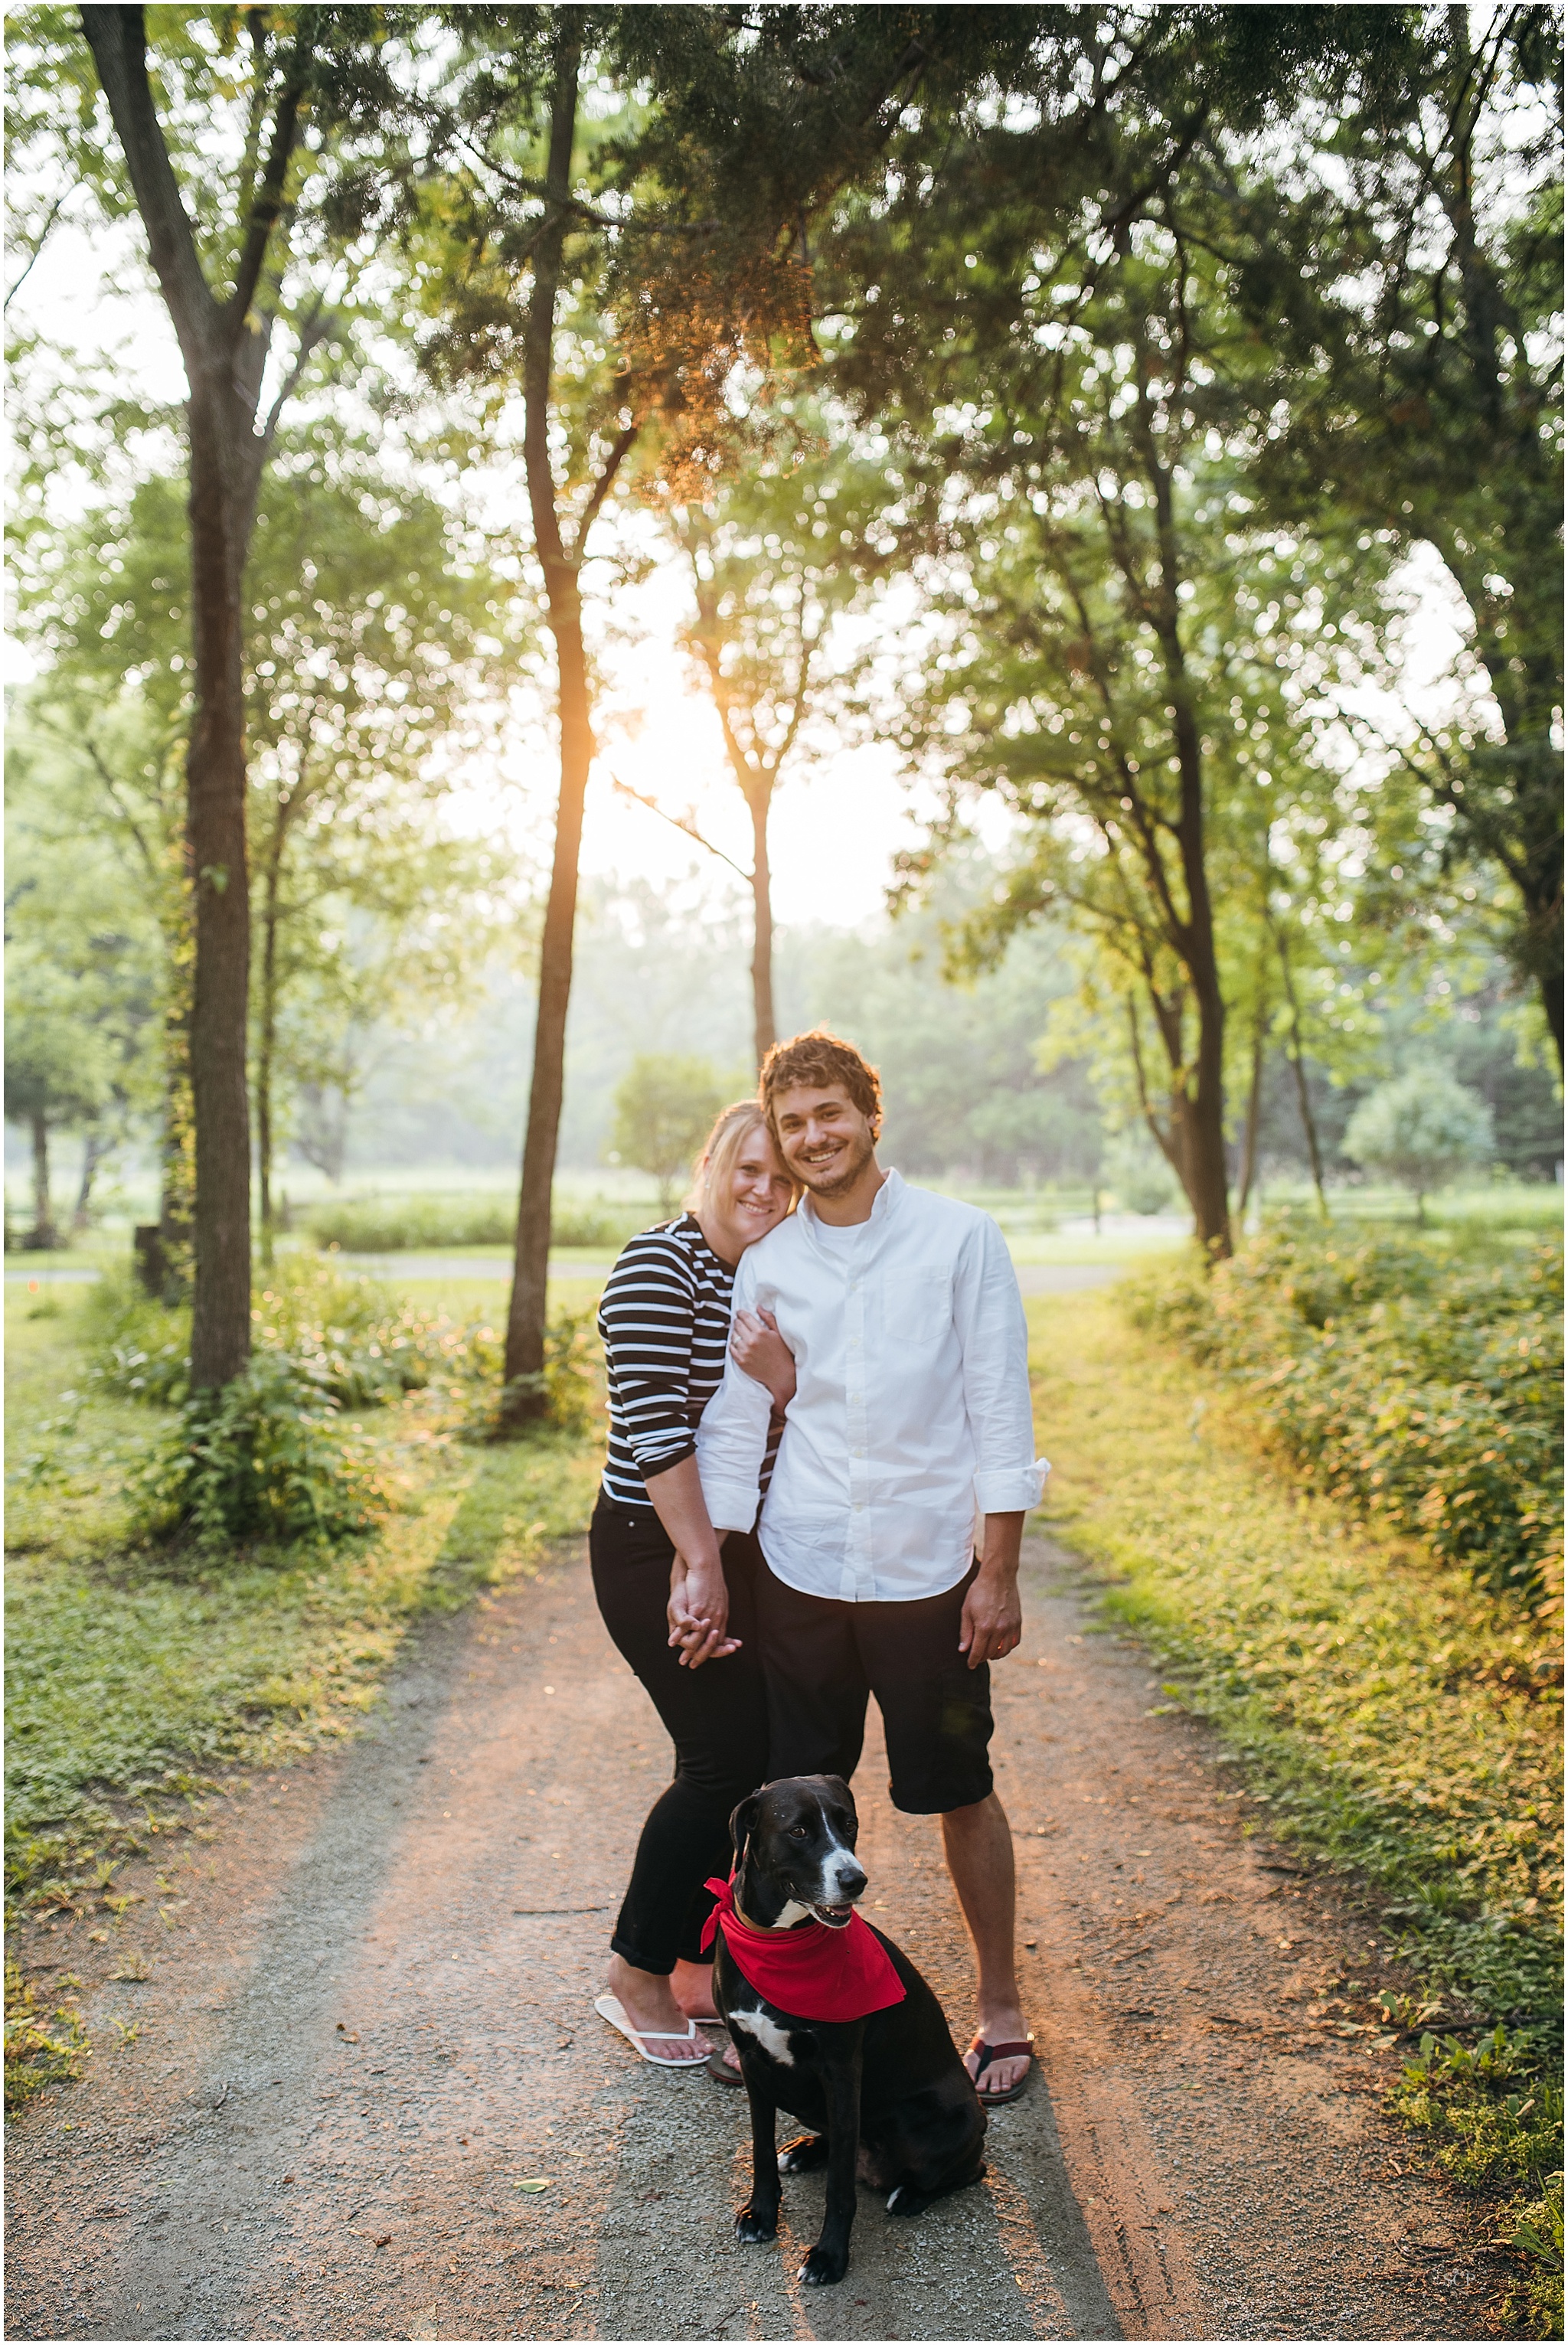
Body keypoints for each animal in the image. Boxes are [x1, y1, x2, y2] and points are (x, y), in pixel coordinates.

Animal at [712, 1772, 984, 2288]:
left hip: (952, 2122)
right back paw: (805, 2150)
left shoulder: (840, 2070)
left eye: (850, 1824)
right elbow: (760, 2152)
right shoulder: (753, 2063)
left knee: (965, 2172)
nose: (856, 1880)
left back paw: (908, 2194)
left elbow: (839, 2188)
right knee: (840, 2140)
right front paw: (761, 2215)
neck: (780, 1944)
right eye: (798, 1831)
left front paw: (829, 2257)